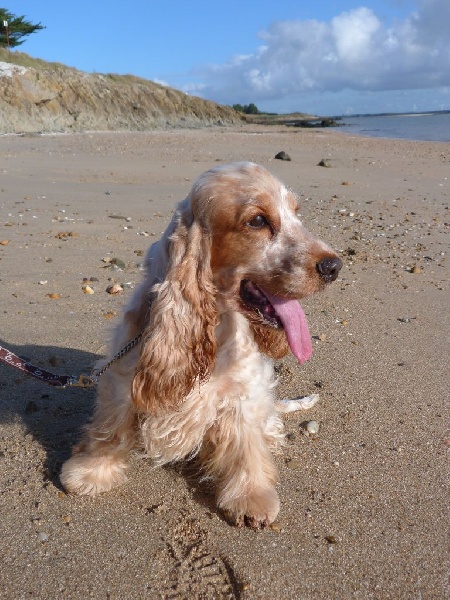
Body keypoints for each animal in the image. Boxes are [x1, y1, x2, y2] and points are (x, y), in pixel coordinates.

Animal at [59, 162, 342, 528]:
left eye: (296, 212)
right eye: (257, 221)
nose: (334, 266)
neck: (216, 323)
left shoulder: (243, 396)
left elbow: (247, 448)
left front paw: (253, 497)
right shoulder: (121, 380)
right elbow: (111, 429)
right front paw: (90, 472)